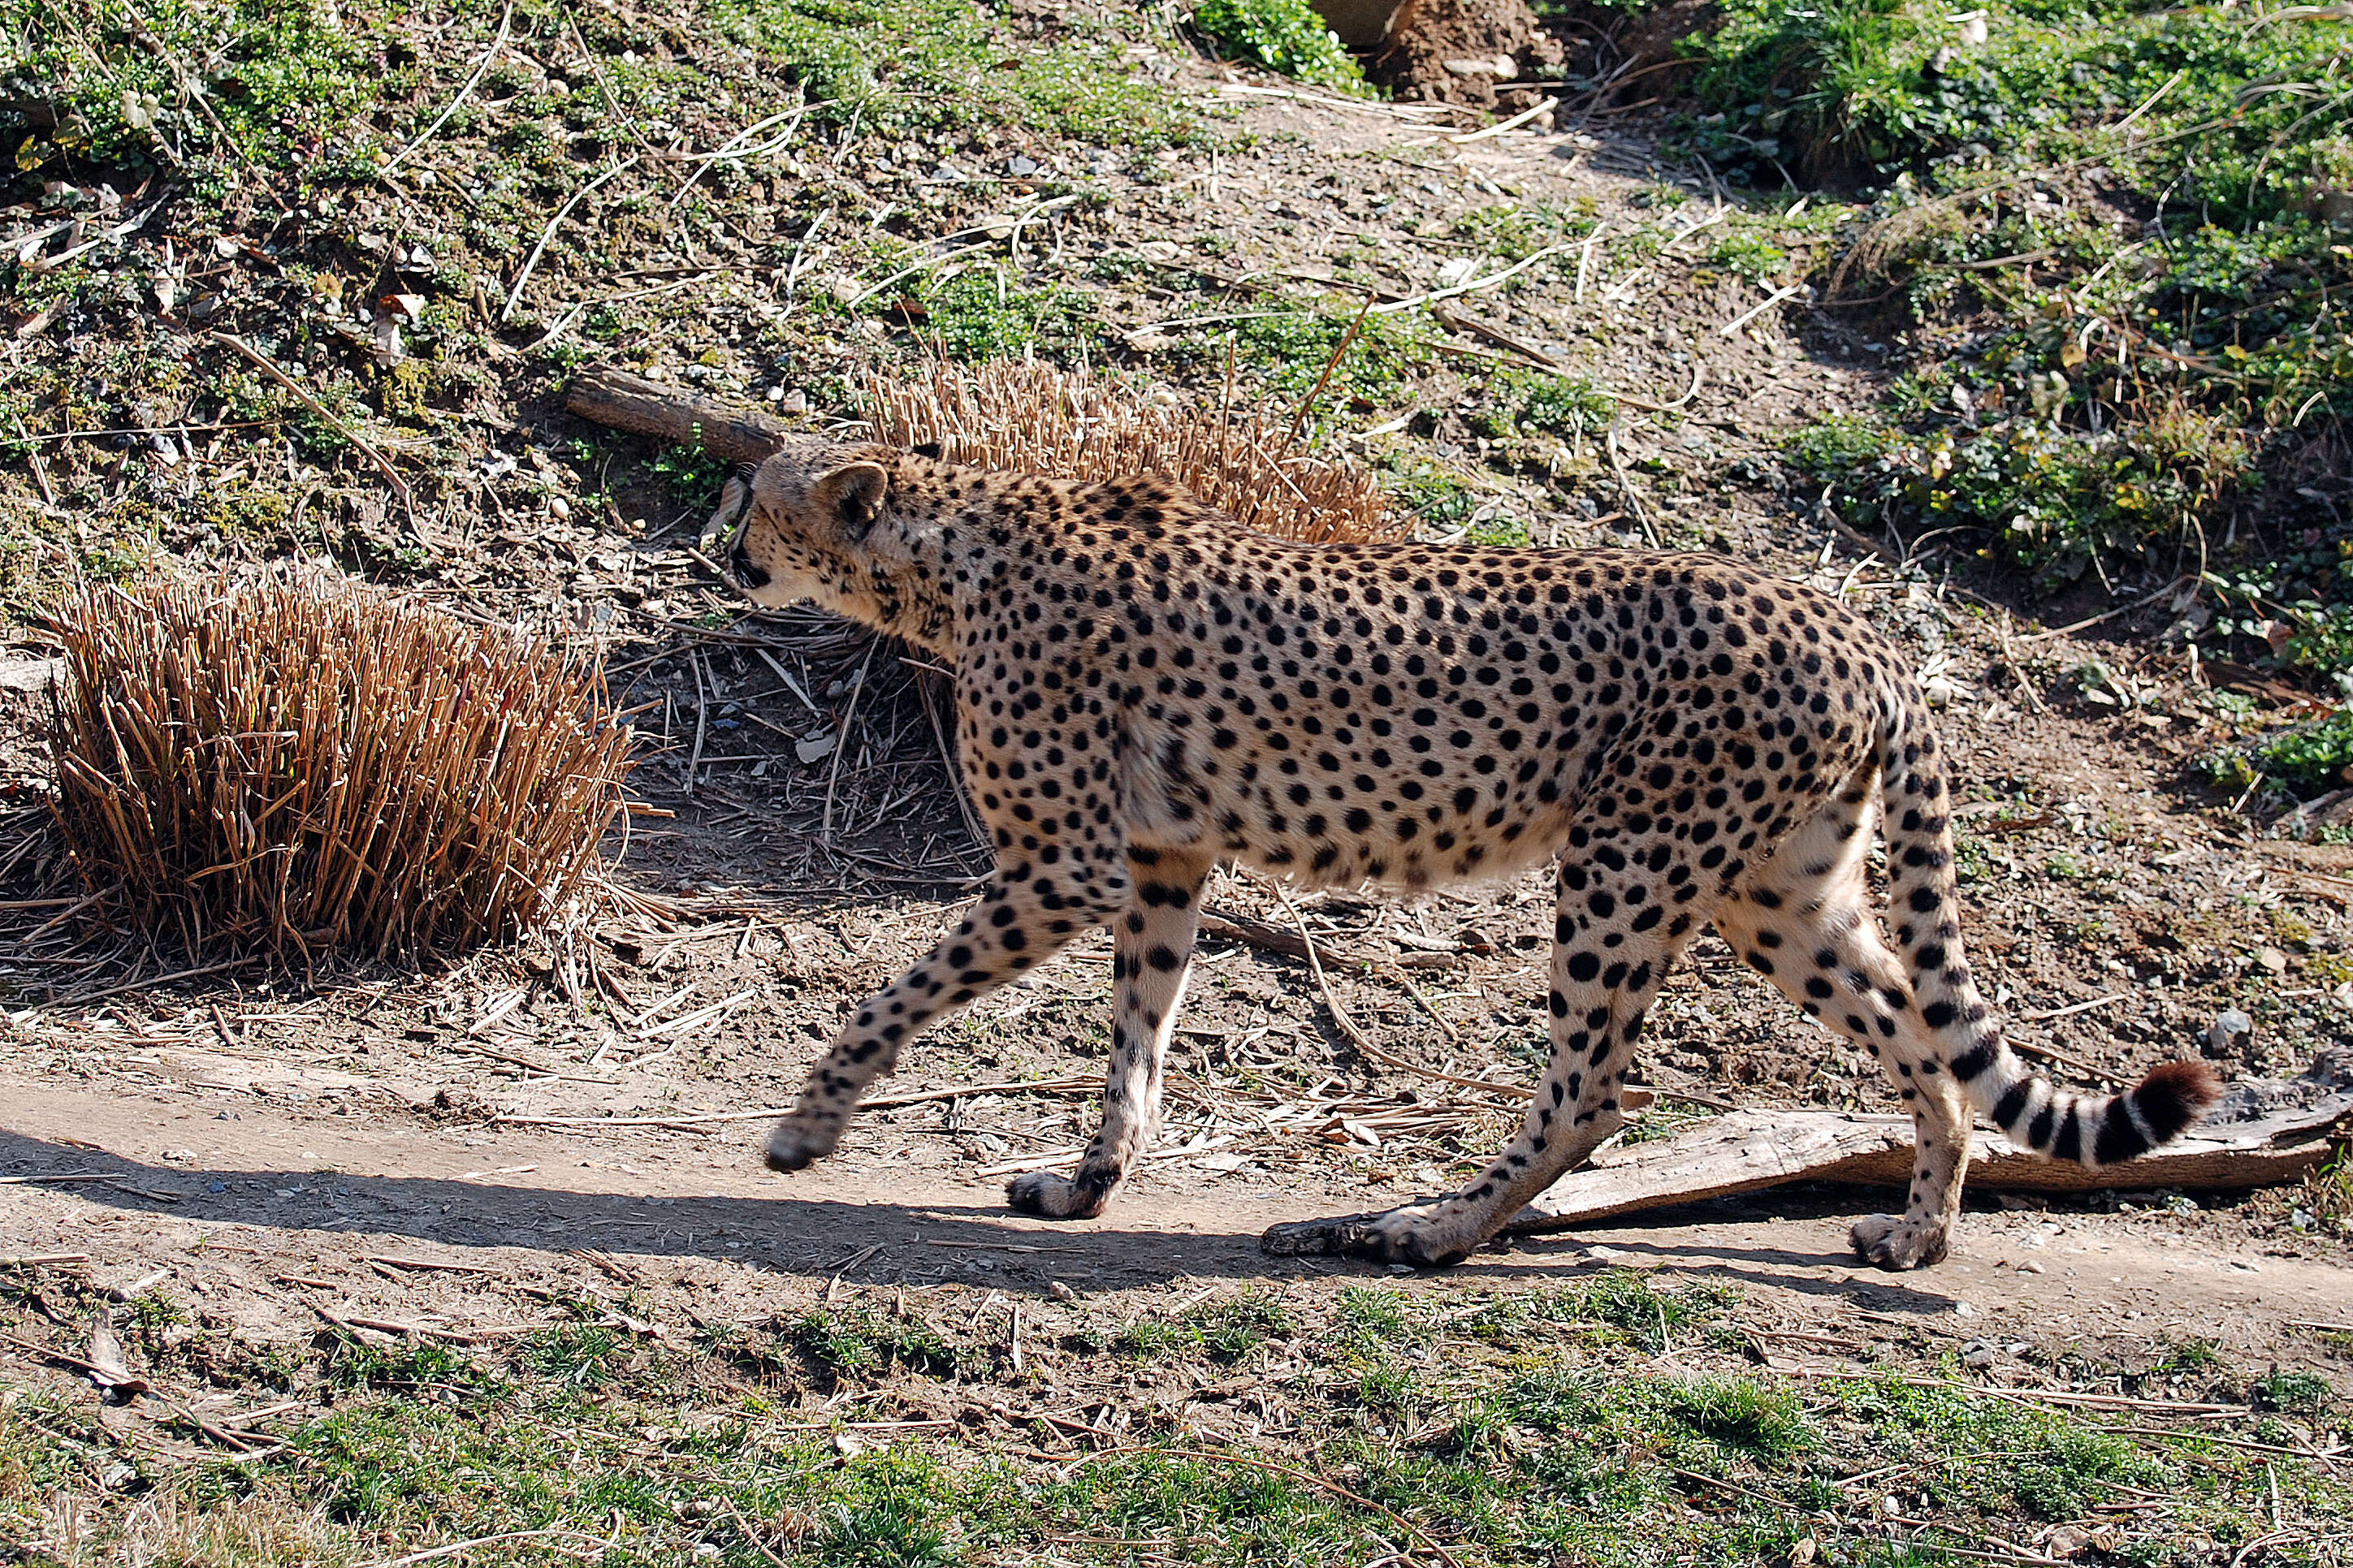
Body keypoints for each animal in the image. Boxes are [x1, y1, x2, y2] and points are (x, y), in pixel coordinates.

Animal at [715, 442, 2221, 1278]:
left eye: (762, 507)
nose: (725, 554)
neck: (951, 551)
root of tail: (1856, 629)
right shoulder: (1162, 863)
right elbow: (1135, 1045)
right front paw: (1085, 1182)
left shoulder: (1068, 864)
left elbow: (898, 990)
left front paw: (807, 1124)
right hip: (1773, 895)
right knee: (1919, 1036)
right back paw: (1919, 1230)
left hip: (1626, 869)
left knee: (1596, 1086)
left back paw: (1420, 1229)